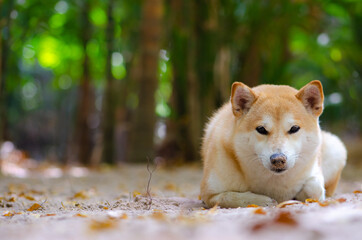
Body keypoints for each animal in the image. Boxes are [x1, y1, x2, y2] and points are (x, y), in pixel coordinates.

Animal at [201, 80, 348, 208]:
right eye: (261, 129)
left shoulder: (314, 172)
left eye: (294, 128)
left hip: (336, 148)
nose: (278, 159)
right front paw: (263, 200)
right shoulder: (209, 194)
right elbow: (231, 197)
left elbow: (315, 190)